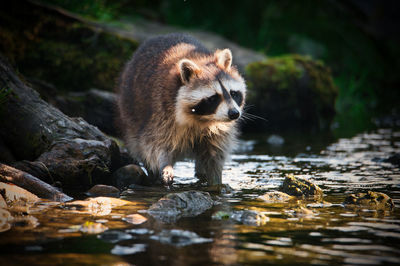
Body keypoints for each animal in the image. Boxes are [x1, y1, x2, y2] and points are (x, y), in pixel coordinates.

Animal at [117, 33, 245, 186]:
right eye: (213, 98)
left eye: (233, 93)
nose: (234, 114)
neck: (202, 118)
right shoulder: (161, 111)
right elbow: (154, 144)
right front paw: (165, 165)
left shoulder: (219, 129)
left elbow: (215, 153)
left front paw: (216, 180)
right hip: (129, 110)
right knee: (138, 142)